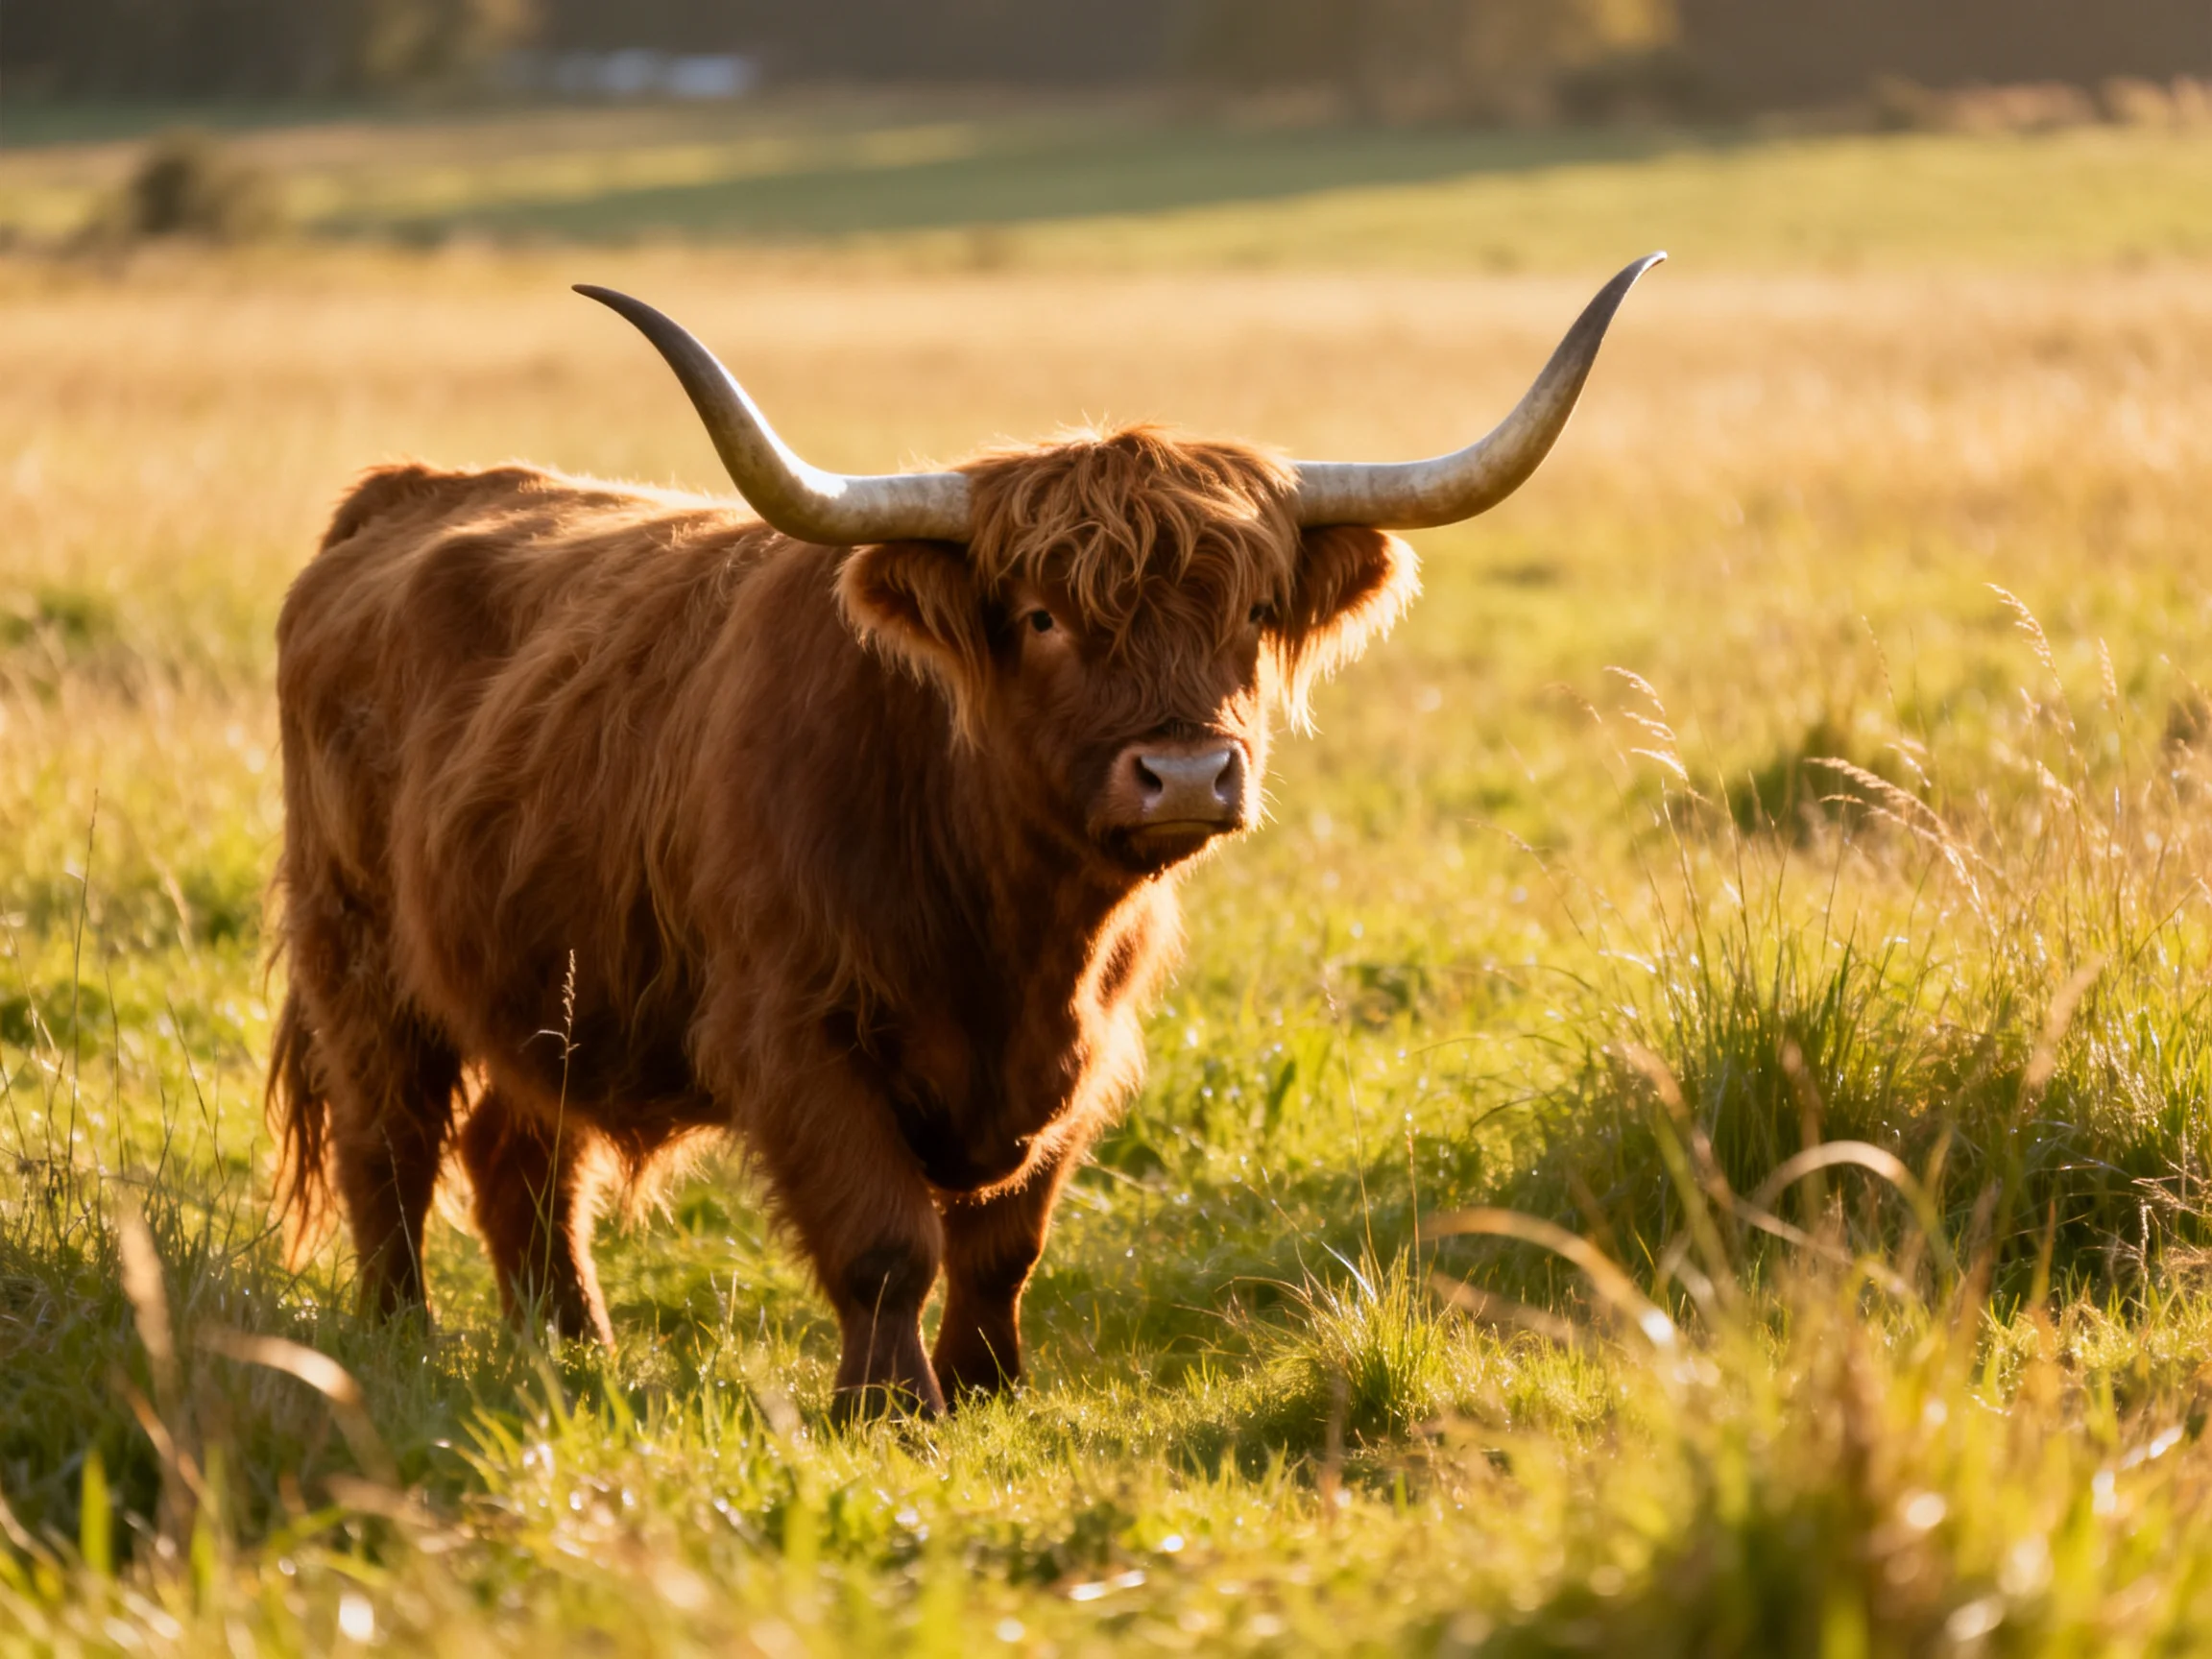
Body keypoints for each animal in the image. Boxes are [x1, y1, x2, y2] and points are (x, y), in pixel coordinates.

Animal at [266, 255, 1661, 1415]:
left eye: (1254, 611)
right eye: (1040, 617)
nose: (1187, 772)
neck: (1009, 925)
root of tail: (404, 493)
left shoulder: (1089, 1049)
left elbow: (1004, 1241)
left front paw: (991, 1388)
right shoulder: (792, 1034)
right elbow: (888, 1242)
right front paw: (889, 1406)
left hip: (543, 984)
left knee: (521, 1155)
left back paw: (572, 1348)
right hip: (359, 950)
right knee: (389, 1141)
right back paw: (403, 1339)